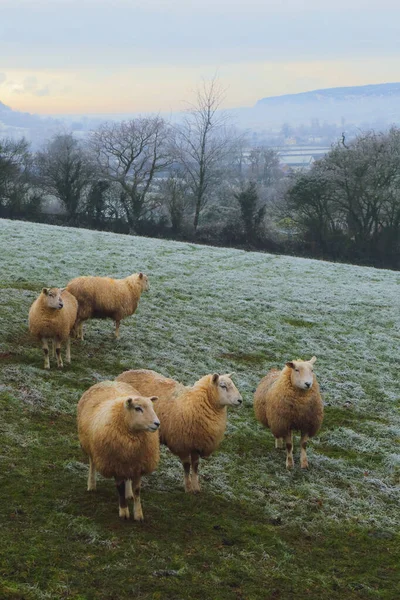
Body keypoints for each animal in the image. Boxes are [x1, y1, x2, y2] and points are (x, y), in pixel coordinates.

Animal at [77, 380, 160, 520]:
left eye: (152, 407)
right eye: (138, 408)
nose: (157, 423)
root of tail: (109, 381)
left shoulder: (138, 464)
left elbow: (137, 490)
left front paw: (138, 514)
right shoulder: (115, 464)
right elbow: (120, 488)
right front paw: (124, 512)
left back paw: (129, 493)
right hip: (91, 446)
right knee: (92, 463)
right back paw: (91, 485)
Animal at [114, 370, 242, 492]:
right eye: (223, 386)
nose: (240, 400)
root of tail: (125, 373)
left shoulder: (196, 443)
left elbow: (195, 466)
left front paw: (196, 488)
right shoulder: (182, 443)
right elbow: (187, 465)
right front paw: (188, 487)